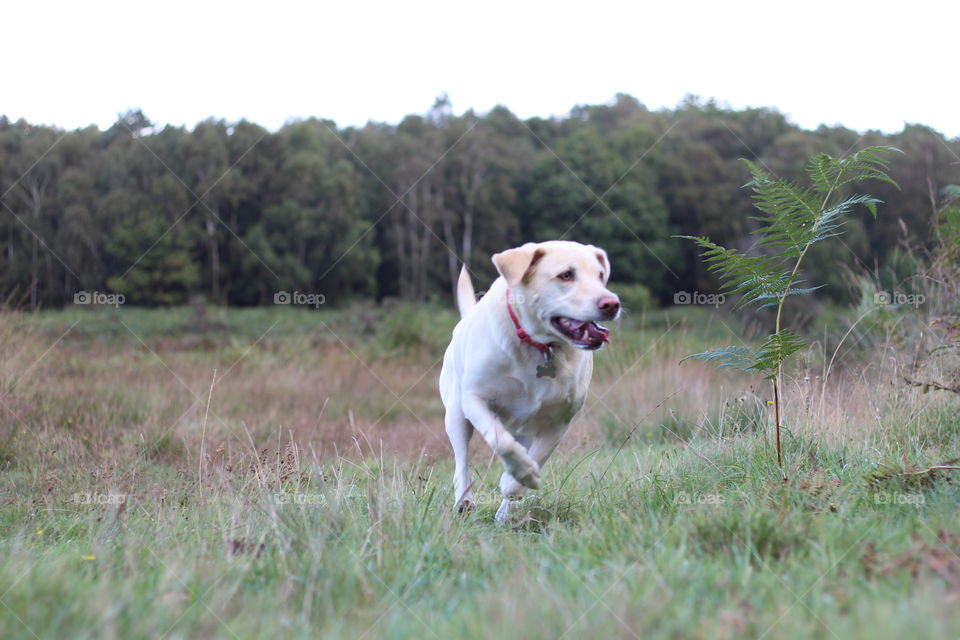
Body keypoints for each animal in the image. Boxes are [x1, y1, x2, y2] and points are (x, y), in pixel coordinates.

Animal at [436, 240, 620, 520]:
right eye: (566, 275)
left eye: (600, 276)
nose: (612, 304)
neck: (539, 345)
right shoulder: (474, 399)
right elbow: (500, 440)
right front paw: (521, 474)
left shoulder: (559, 421)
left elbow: (536, 459)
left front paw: (518, 481)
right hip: (456, 413)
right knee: (461, 462)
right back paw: (464, 501)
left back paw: (504, 514)